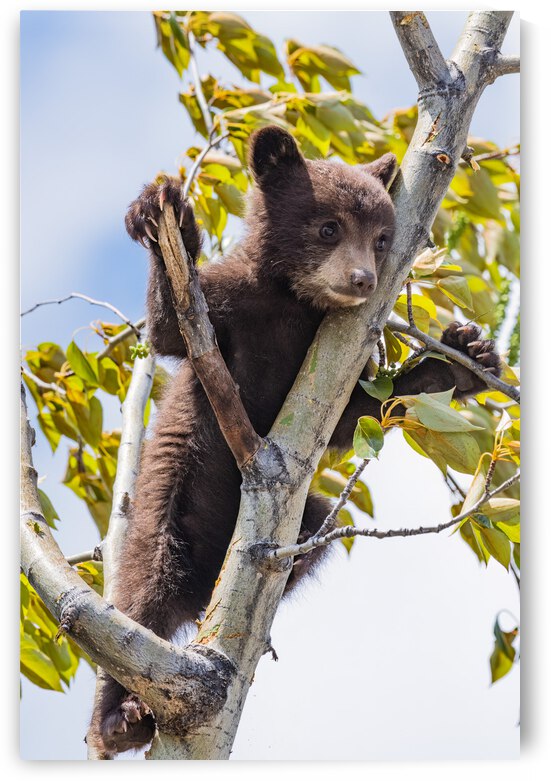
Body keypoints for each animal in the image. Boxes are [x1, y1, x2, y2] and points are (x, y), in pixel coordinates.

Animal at [89, 126, 501, 756]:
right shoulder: (235, 305)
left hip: (295, 525)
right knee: (141, 598)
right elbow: (171, 327)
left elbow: (355, 414)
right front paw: (166, 214)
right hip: (168, 503)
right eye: (328, 226)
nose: (363, 279)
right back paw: (119, 717)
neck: (294, 302)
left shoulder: (333, 353)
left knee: (315, 532)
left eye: (382, 238)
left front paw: (464, 358)